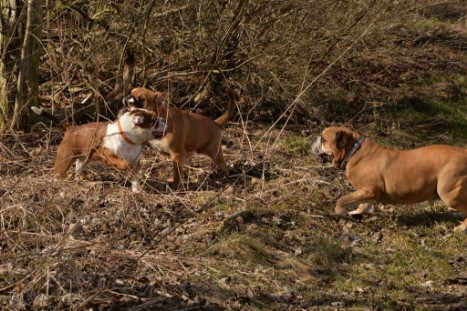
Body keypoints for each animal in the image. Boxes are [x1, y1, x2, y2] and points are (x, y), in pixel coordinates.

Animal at [310, 126, 467, 232]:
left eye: (323, 139)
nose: (313, 138)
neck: (353, 151)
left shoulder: (368, 191)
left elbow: (342, 200)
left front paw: (341, 212)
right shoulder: (367, 193)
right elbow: (363, 205)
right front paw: (355, 213)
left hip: (448, 193)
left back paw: (461, 229)